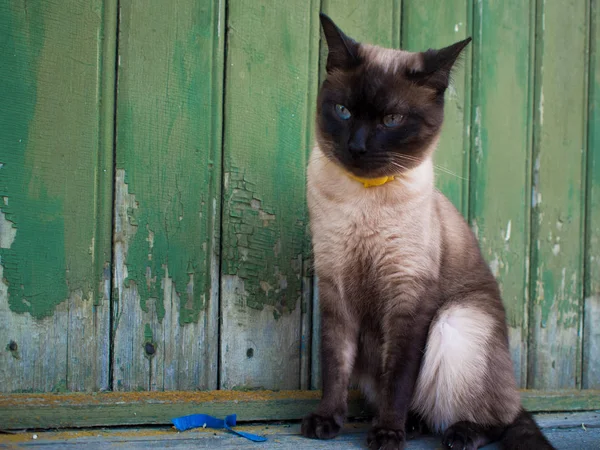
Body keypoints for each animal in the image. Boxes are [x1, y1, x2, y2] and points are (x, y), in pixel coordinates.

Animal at [300, 12, 556, 448]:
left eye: (391, 120)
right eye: (344, 111)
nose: (357, 147)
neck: (363, 198)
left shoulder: (408, 296)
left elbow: (399, 377)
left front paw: (387, 433)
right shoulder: (336, 288)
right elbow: (335, 366)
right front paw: (325, 422)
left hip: (457, 322)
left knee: (500, 418)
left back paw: (457, 433)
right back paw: (416, 423)